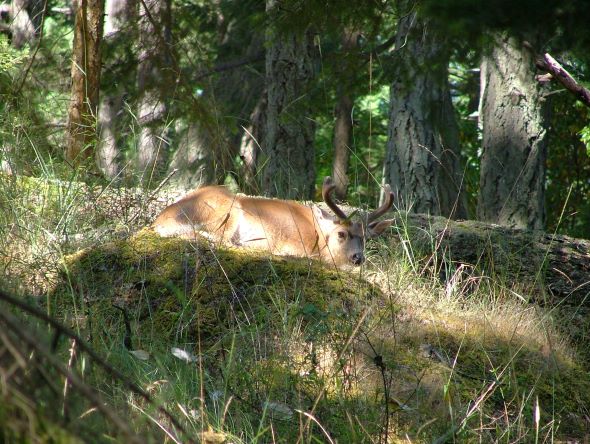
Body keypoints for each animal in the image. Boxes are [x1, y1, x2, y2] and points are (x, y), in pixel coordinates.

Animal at [153, 177, 396, 268]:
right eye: (341, 234)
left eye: (365, 239)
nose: (358, 258)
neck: (319, 238)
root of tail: (159, 221)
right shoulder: (295, 243)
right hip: (227, 210)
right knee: (219, 240)